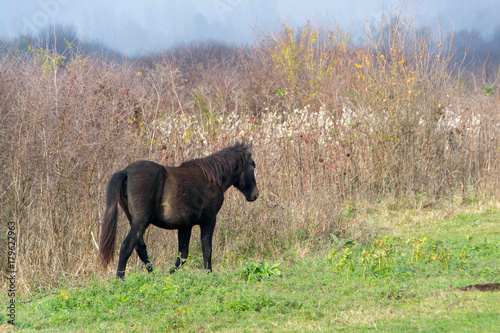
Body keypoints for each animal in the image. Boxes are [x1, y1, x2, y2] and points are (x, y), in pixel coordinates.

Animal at [99, 141, 260, 278]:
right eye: (252, 165)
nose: (255, 194)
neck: (211, 178)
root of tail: (126, 172)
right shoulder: (209, 221)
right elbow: (206, 250)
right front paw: (209, 275)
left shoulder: (185, 226)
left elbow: (182, 255)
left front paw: (170, 274)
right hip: (141, 221)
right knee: (127, 246)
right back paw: (120, 279)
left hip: (134, 220)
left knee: (140, 247)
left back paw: (153, 276)